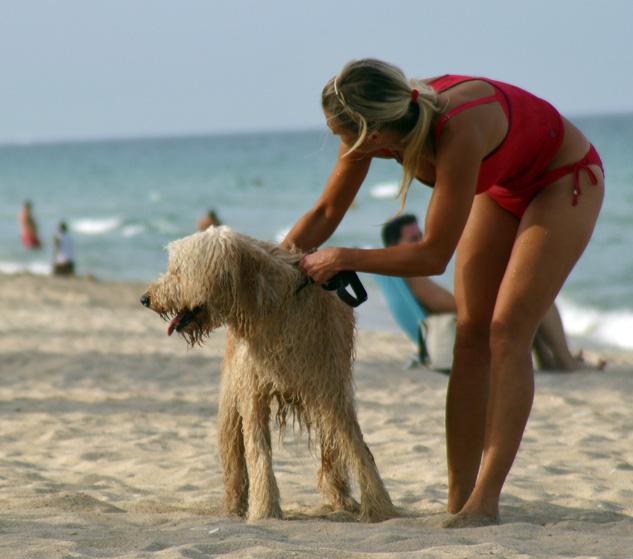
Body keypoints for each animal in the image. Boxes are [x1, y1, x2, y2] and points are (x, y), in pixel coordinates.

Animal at [141, 225, 392, 524]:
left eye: (178, 271)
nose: (145, 298)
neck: (275, 304)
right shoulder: (252, 390)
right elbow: (258, 450)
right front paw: (265, 509)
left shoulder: (331, 387)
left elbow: (355, 445)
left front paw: (379, 506)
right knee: (233, 453)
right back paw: (233, 506)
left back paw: (340, 497)